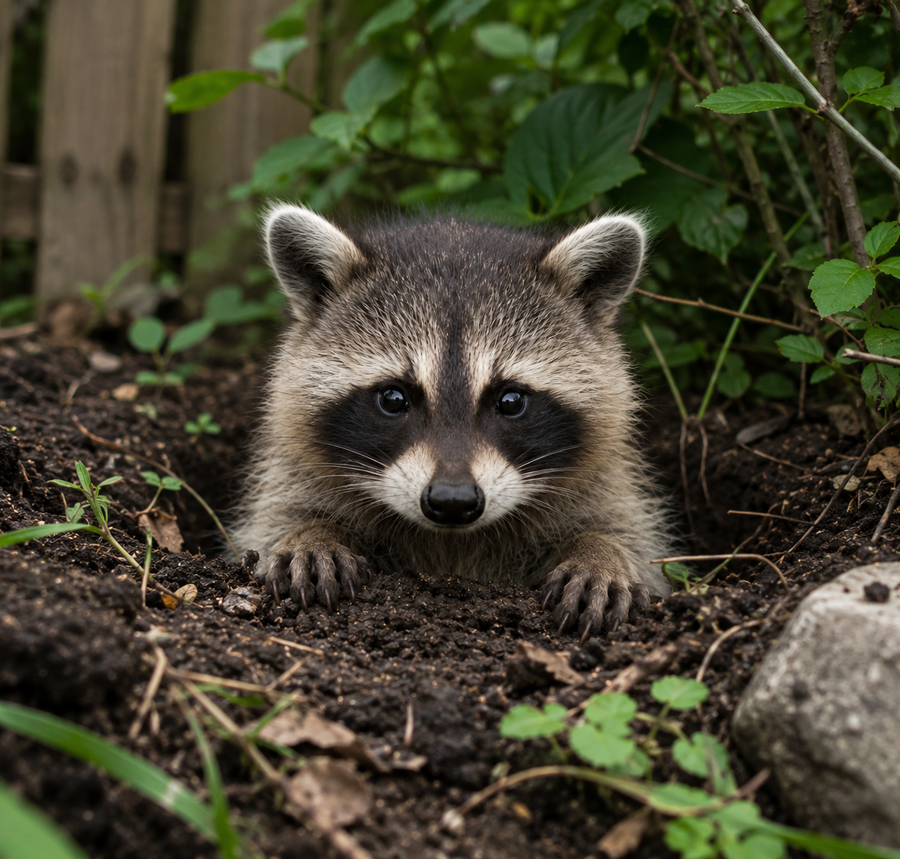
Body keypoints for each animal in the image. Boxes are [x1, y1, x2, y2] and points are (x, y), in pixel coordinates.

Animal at [232, 204, 671, 639]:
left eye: (511, 400)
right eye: (393, 398)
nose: (453, 501)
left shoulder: (603, 476)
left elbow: (625, 530)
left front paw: (599, 551)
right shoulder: (295, 469)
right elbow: (280, 515)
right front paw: (314, 533)